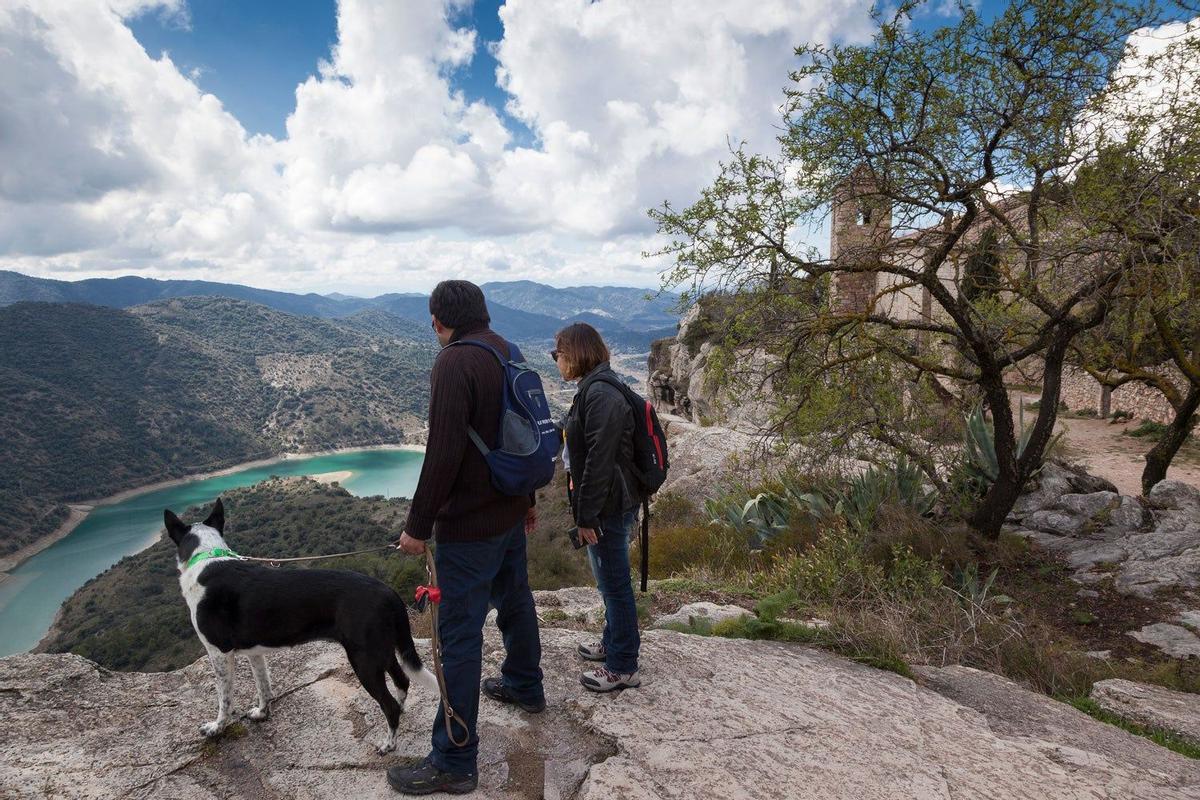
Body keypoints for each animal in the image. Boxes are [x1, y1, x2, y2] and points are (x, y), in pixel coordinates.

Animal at [163, 496, 436, 753]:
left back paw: (388, 744)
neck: (207, 556)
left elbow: (225, 699)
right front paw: (262, 712)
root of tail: (388, 592)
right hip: (383, 650)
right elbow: (263, 686)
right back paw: (401, 715)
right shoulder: (254, 653)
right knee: (403, 682)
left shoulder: (219, 652)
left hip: (365, 660)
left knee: (388, 704)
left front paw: (216, 727)